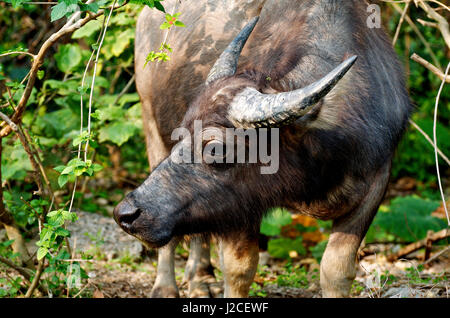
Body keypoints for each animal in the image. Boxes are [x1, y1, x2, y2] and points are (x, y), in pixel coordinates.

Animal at [115, 0, 412, 298]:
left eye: (215, 149)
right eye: (181, 133)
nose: (125, 214)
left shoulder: (375, 185)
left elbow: (336, 270)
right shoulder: (240, 203)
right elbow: (239, 270)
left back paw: (200, 278)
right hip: (151, 128)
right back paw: (166, 287)